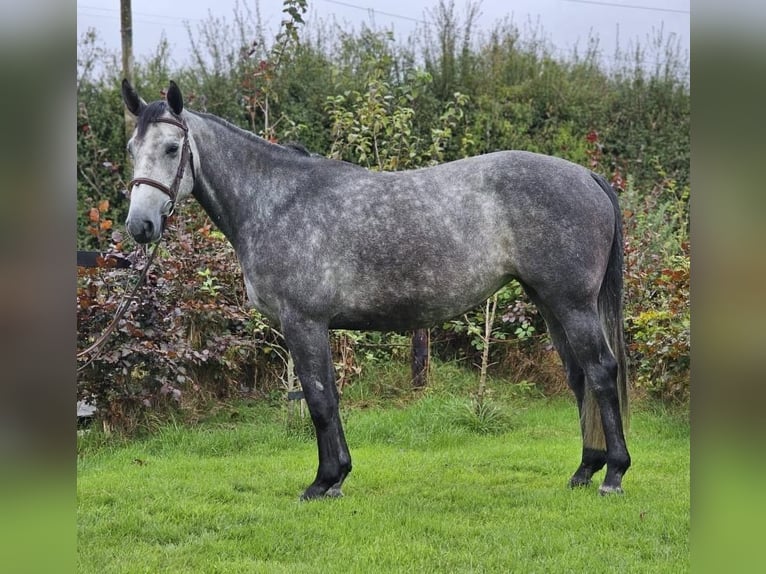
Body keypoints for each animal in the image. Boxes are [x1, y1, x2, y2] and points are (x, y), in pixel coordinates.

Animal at [121, 80, 632, 500]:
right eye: (131, 148)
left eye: (172, 148)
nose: (140, 226)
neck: (277, 201)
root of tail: (586, 176)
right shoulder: (316, 326)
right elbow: (327, 394)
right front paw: (338, 477)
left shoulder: (303, 322)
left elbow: (318, 399)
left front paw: (323, 482)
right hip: (550, 303)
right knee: (580, 377)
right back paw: (584, 470)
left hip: (573, 304)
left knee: (601, 372)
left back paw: (613, 474)